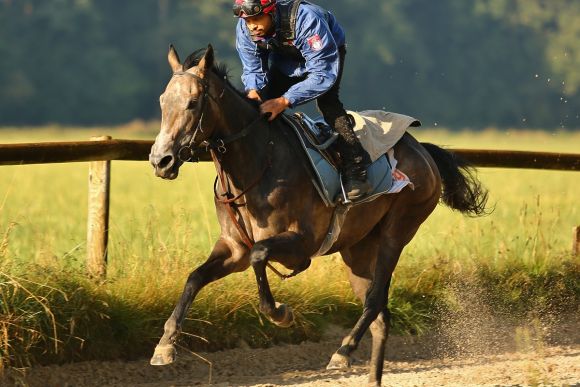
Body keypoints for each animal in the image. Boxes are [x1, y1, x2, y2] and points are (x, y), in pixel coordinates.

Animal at [147, 44, 488, 386]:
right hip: (358, 250)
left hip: (398, 231)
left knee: (375, 299)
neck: (258, 163)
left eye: (192, 103)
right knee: (381, 316)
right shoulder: (234, 248)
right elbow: (195, 277)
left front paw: (280, 313)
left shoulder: (301, 244)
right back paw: (370, 375)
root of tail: (423, 151)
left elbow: (260, 255)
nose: (161, 160)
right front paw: (165, 345)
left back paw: (343, 351)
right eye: (162, 101)